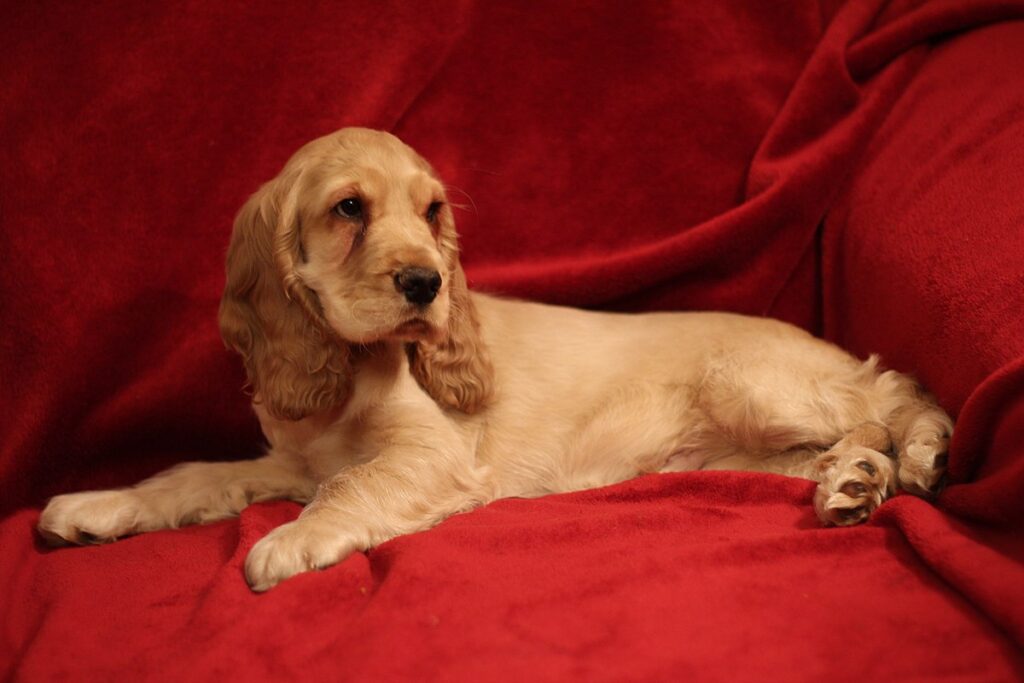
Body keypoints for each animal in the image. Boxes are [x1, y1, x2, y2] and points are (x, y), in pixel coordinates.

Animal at [39, 129, 950, 593]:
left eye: (432, 211)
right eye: (348, 208)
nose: (427, 282)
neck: (352, 368)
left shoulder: (431, 454)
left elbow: (352, 484)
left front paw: (293, 540)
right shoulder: (290, 458)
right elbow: (192, 474)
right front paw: (101, 504)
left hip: (753, 384)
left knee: (891, 394)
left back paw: (914, 455)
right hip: (735, 455)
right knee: (842, 440)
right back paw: (852, 483)